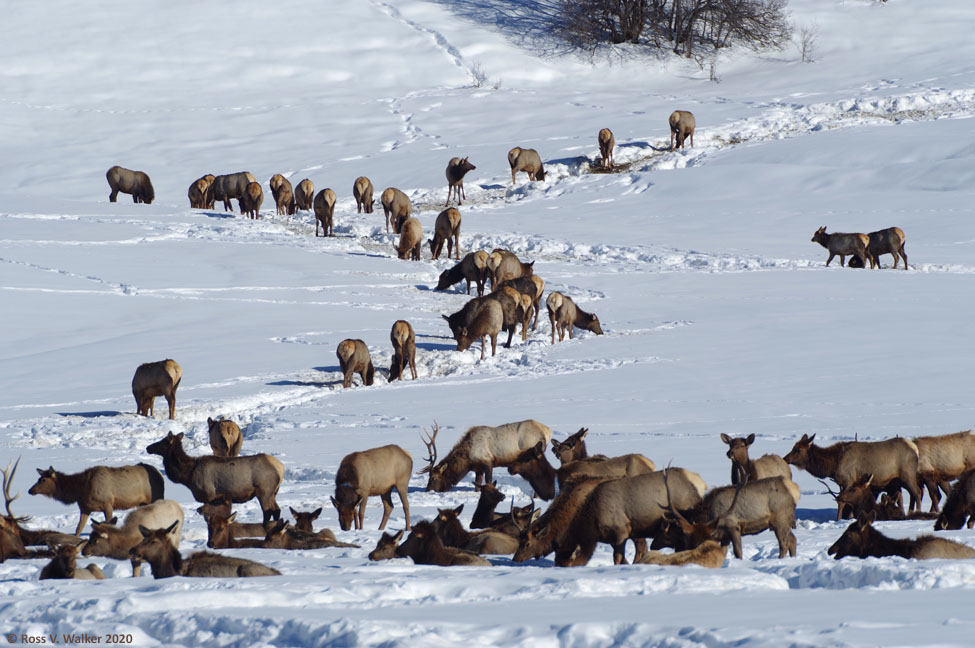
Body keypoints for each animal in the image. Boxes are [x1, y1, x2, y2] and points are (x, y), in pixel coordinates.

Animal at [29, 463, 165, 536]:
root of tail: (160, 474)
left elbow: (109, 523)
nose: (30, 490)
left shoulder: (108, 503)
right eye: (38, 479)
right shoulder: (85, 508)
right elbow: (78, 528)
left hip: (156, 496)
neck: (82, 490)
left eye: (43, 480)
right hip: (143, 503)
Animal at [146, 431, 284, 524]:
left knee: (268, 511)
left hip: (264, 491)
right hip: (273, 493)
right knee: (277, 510)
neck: (188, 475)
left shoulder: (209, 495)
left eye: (162, 442)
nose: (148, 448)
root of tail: (280, 468)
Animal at [419, 420, 552, 492]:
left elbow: (488, 482)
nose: (427, 490)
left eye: (433, 477)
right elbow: (477, 486)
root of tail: (547, 431)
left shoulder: (488, 462)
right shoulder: (478, 469)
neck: (468, 461)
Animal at [783, 433, 922, 518]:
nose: (785, 459)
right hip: (897, 480)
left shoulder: (848, 480)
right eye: (793, 447)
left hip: (907, 475)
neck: (833, 464)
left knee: (917, 492)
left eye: (798, 450)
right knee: (908, 495)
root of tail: (915, 449)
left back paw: (918, 512)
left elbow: (842, 502)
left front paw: (840, 519)